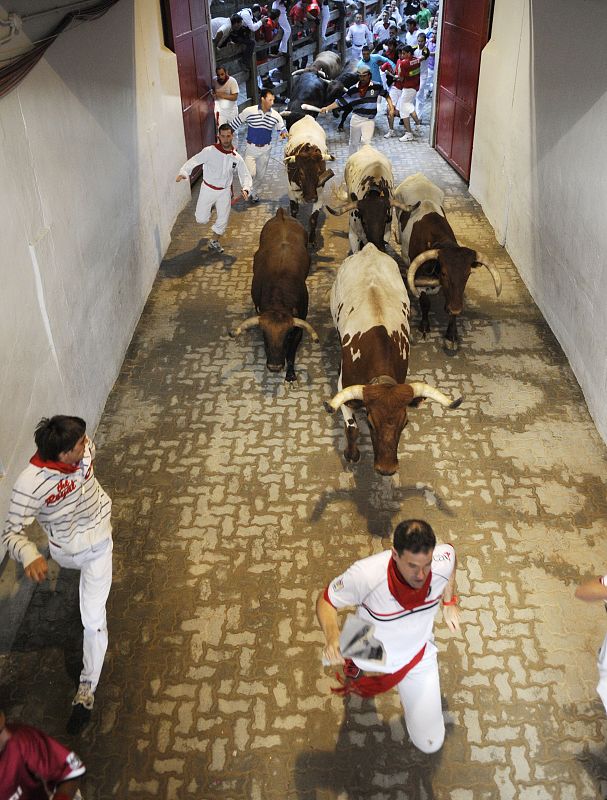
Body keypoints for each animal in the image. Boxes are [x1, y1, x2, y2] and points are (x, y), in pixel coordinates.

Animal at [230, 206, 320, 382]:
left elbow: (291, 355)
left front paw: (290, 376)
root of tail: (282, 214)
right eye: (265, 335)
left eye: (287, 337)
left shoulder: (298, 329)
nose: (275, 367)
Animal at [284, 116, 338, 244]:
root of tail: (307, 117)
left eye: (319, 172)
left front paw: (312, 239)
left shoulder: (320, 195)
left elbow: (313, 218)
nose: (310, 198)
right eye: (301, 173)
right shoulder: (291, 192)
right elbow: (294, 212)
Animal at [326, 242, 464, 476]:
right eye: (370, 423)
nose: (387, 468)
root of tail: (369, 248)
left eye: (405, 423)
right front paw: (352, 454)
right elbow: (351, 428)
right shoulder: (344, 388)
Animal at [394, 172, 504, 346]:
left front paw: (452, 333)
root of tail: (417, 175)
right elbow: (425, 303)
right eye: (444, 273)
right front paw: (425, 326)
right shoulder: (419, 277)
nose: (455, 308)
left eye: (467, 274)